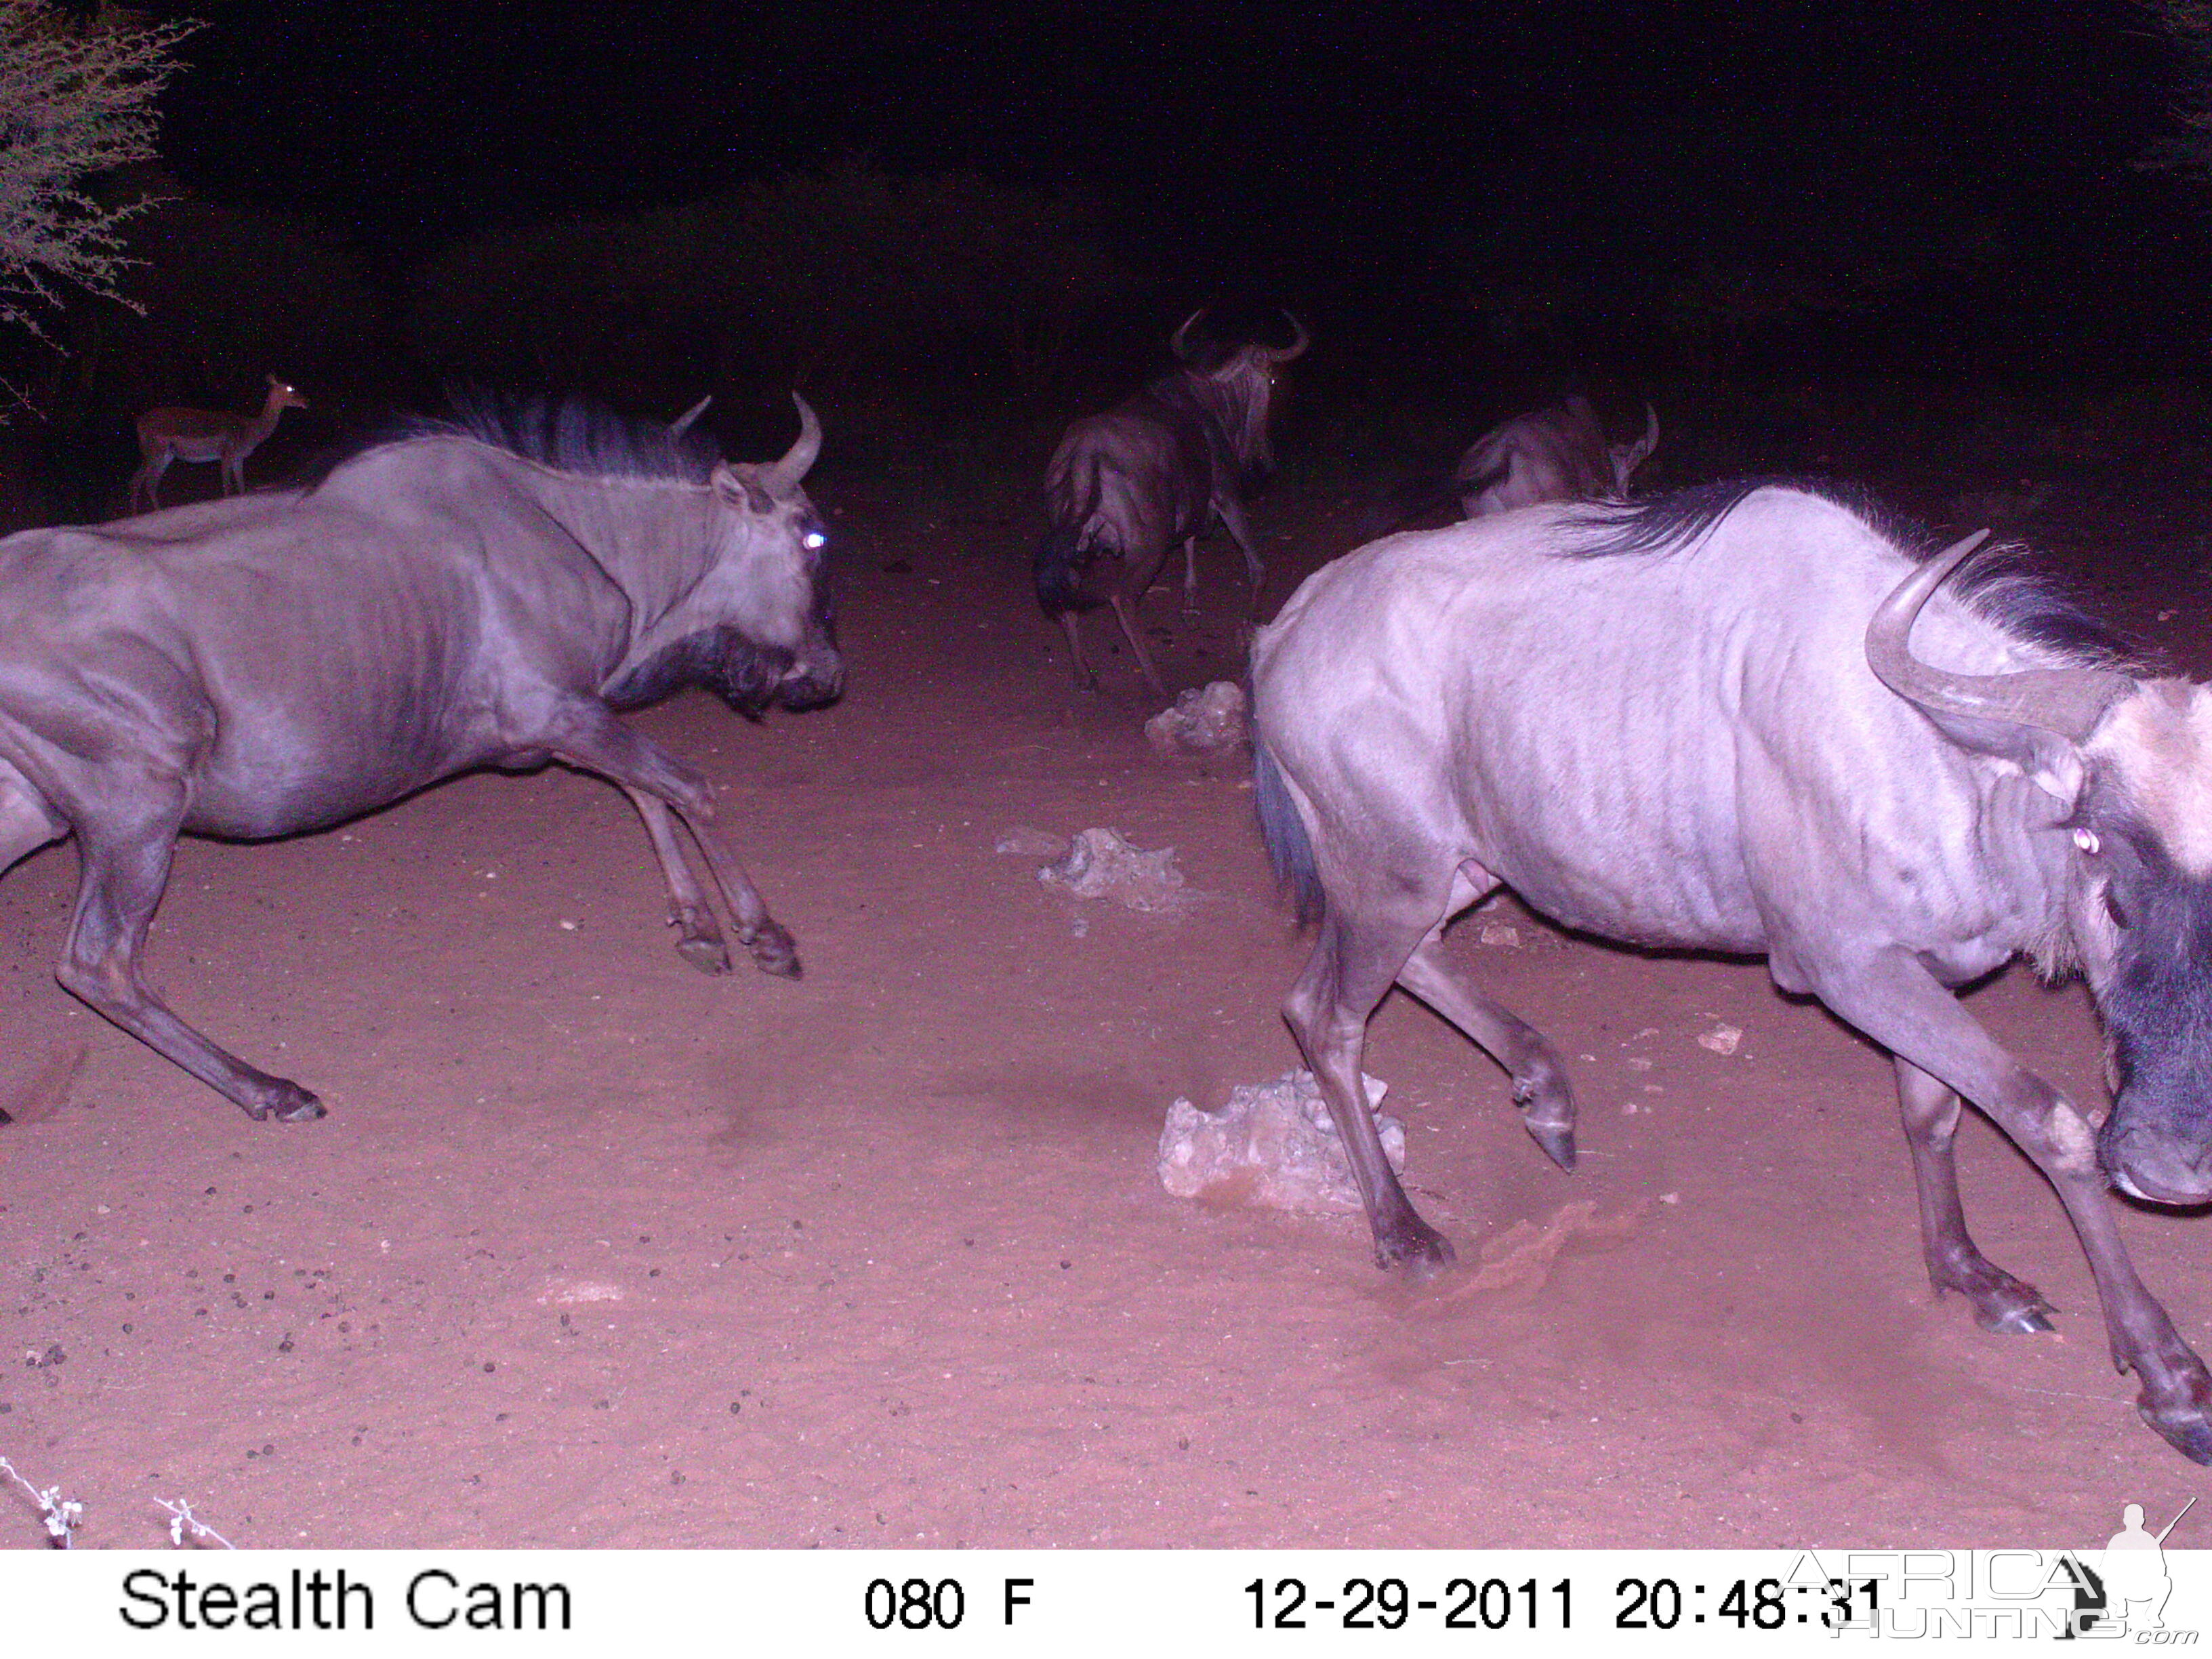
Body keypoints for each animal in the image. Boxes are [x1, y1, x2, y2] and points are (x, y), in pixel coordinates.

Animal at [127, 375, 307, 513]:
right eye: (290, 388)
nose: (307, 401)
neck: (252, 432)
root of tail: (138, 424)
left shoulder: (238, 457)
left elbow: (241, 486)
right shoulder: (226, 453)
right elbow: (227, 486)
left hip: (164, 455)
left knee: (144, 482)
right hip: (155, 451)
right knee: (142, 482)